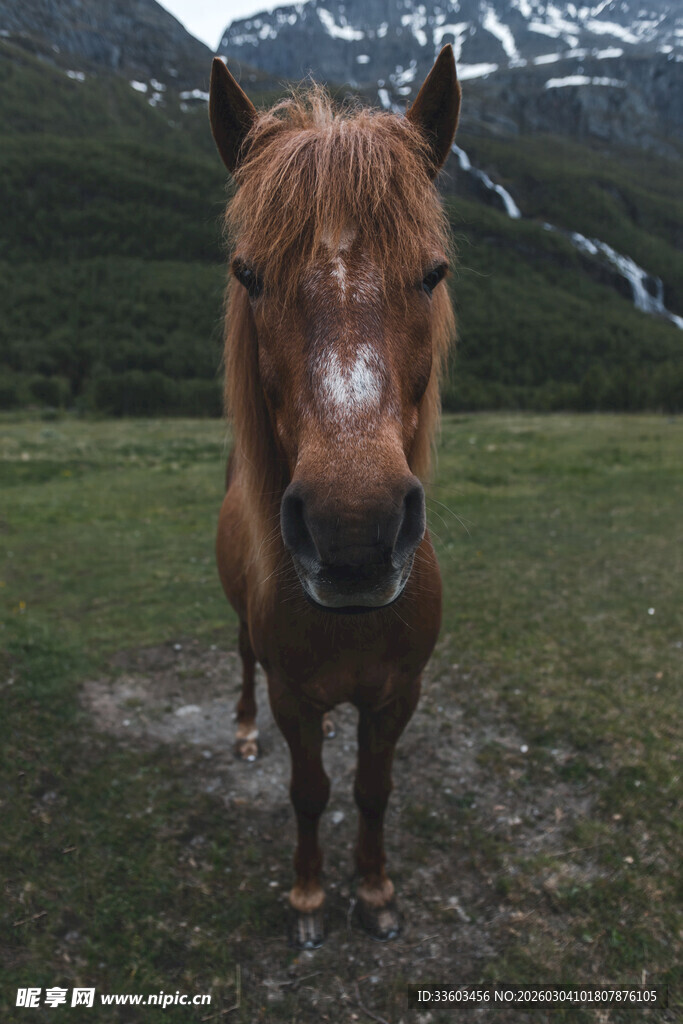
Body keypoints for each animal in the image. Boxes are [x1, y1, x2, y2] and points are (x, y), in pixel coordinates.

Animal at [209, 45, 460, 948]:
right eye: (249, 276)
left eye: (431, 273)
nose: (354, 532)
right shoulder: (296, 698)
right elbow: (311, 792)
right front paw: (310, 896)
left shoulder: (399, 695)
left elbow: (372, 791)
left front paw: (376, 891)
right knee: (241, 663)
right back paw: (241, 734)